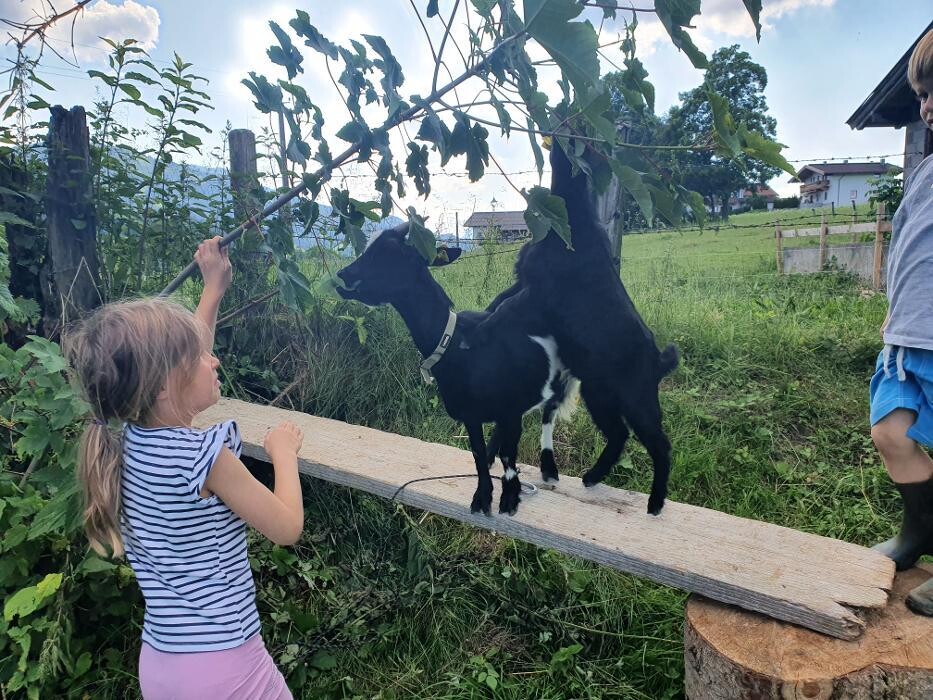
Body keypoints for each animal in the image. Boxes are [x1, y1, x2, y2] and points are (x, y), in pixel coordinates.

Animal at [474, 137, 676, 516]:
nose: (557, 132)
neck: (571, 220)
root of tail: (659, 361)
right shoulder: (525, 281)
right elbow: (502, 299)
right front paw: (481, 317)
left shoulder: (538, 290)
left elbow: (506, 306)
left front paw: (485, 325)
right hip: (599, 393)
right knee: (619, 435)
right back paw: (593, 476)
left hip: (636, 400)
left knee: (659, 444)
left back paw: (655, 502)